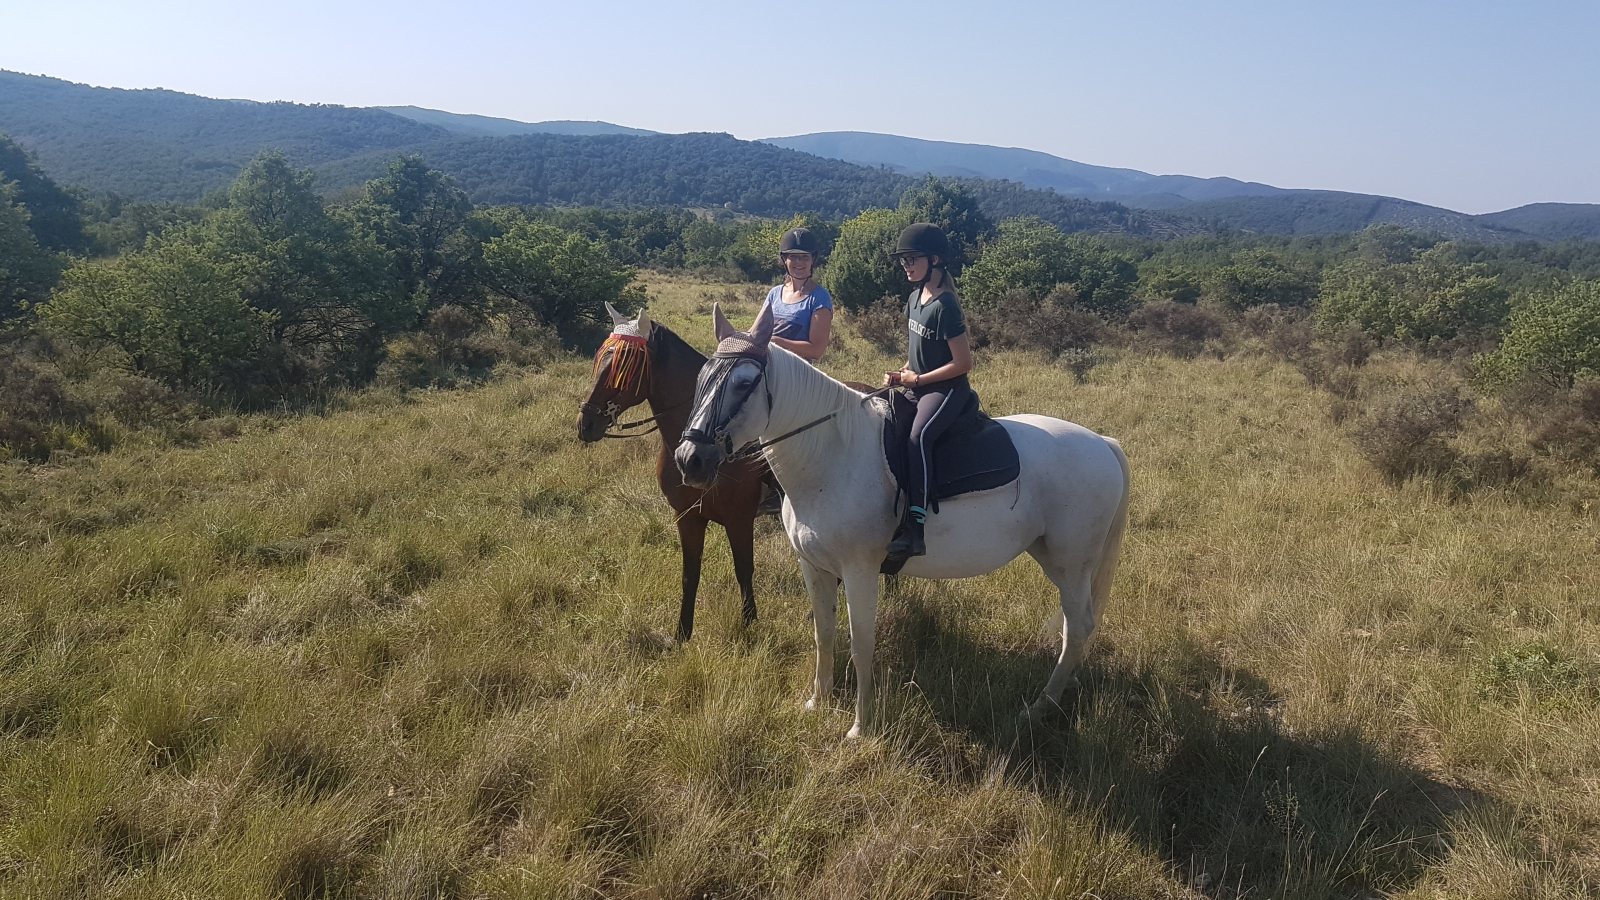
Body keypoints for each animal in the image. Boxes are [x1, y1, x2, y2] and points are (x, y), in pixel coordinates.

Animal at [582, 301, 768, 637]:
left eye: (624, 368)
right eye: (601, 359)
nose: (585, 422)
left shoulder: (740, 519)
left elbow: (744, 570)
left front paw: (749, 625)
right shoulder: (687, 516)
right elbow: (689, 574)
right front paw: (682, 633)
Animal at [668, 301, 1132, 736]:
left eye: (745, 383)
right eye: (702, 377)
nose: (690, 459)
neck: (832, 457)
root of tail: (1103, 443)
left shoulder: (859, 571)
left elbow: (861, 644)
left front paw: (860, 725)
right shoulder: (814, 566)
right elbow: (824, 633)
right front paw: (818, 702)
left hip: (1071, 565)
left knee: (1078, 628)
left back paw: (1040, 707)